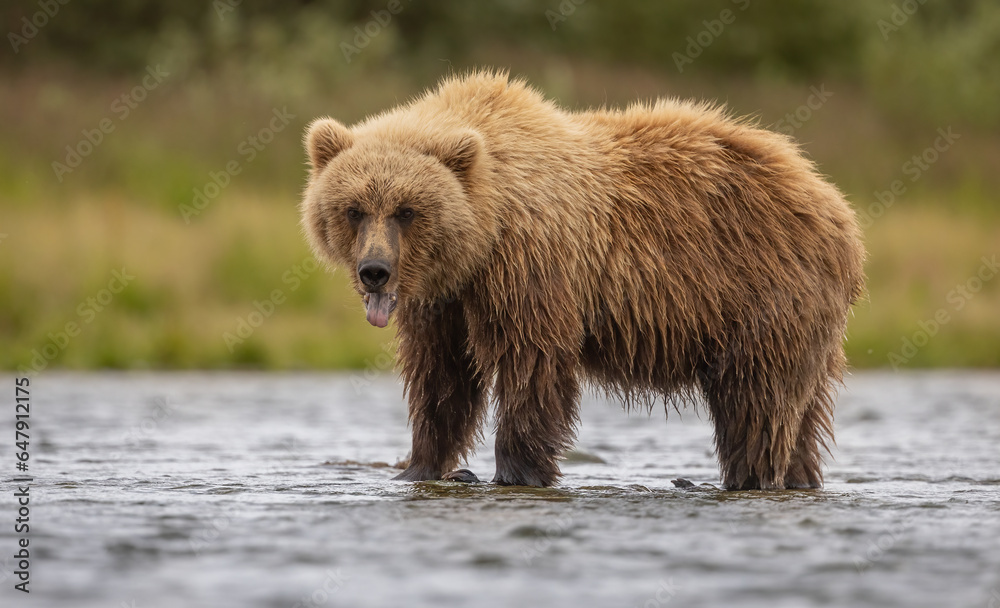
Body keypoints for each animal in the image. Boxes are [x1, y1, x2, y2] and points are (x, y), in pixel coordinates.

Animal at [300, 71, 865, 490]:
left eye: (407, 210)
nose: (375, 271)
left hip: (763, 290)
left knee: (757, 400)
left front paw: (518, 471)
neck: (484, 235)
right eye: (353, 209)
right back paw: (799, 475)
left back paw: (745, 476)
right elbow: (442, 378)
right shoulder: (444, 300)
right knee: (805, 409)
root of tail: (835, 204)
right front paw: (419, 465)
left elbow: (533, 362)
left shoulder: (532, 264)